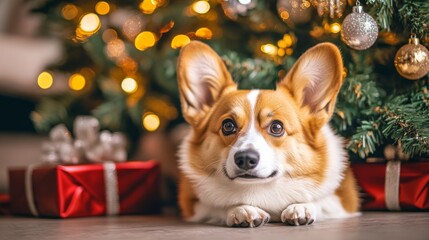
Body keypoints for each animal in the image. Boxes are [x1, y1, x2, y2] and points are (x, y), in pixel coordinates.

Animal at [176, 40, 360, 227]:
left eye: (277, 127)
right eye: (228, 125)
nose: (245, 159)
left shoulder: (344, 200)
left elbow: (321, 200)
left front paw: (301, 207)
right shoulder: (195, 204)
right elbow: (217, 205)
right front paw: (242, 209)